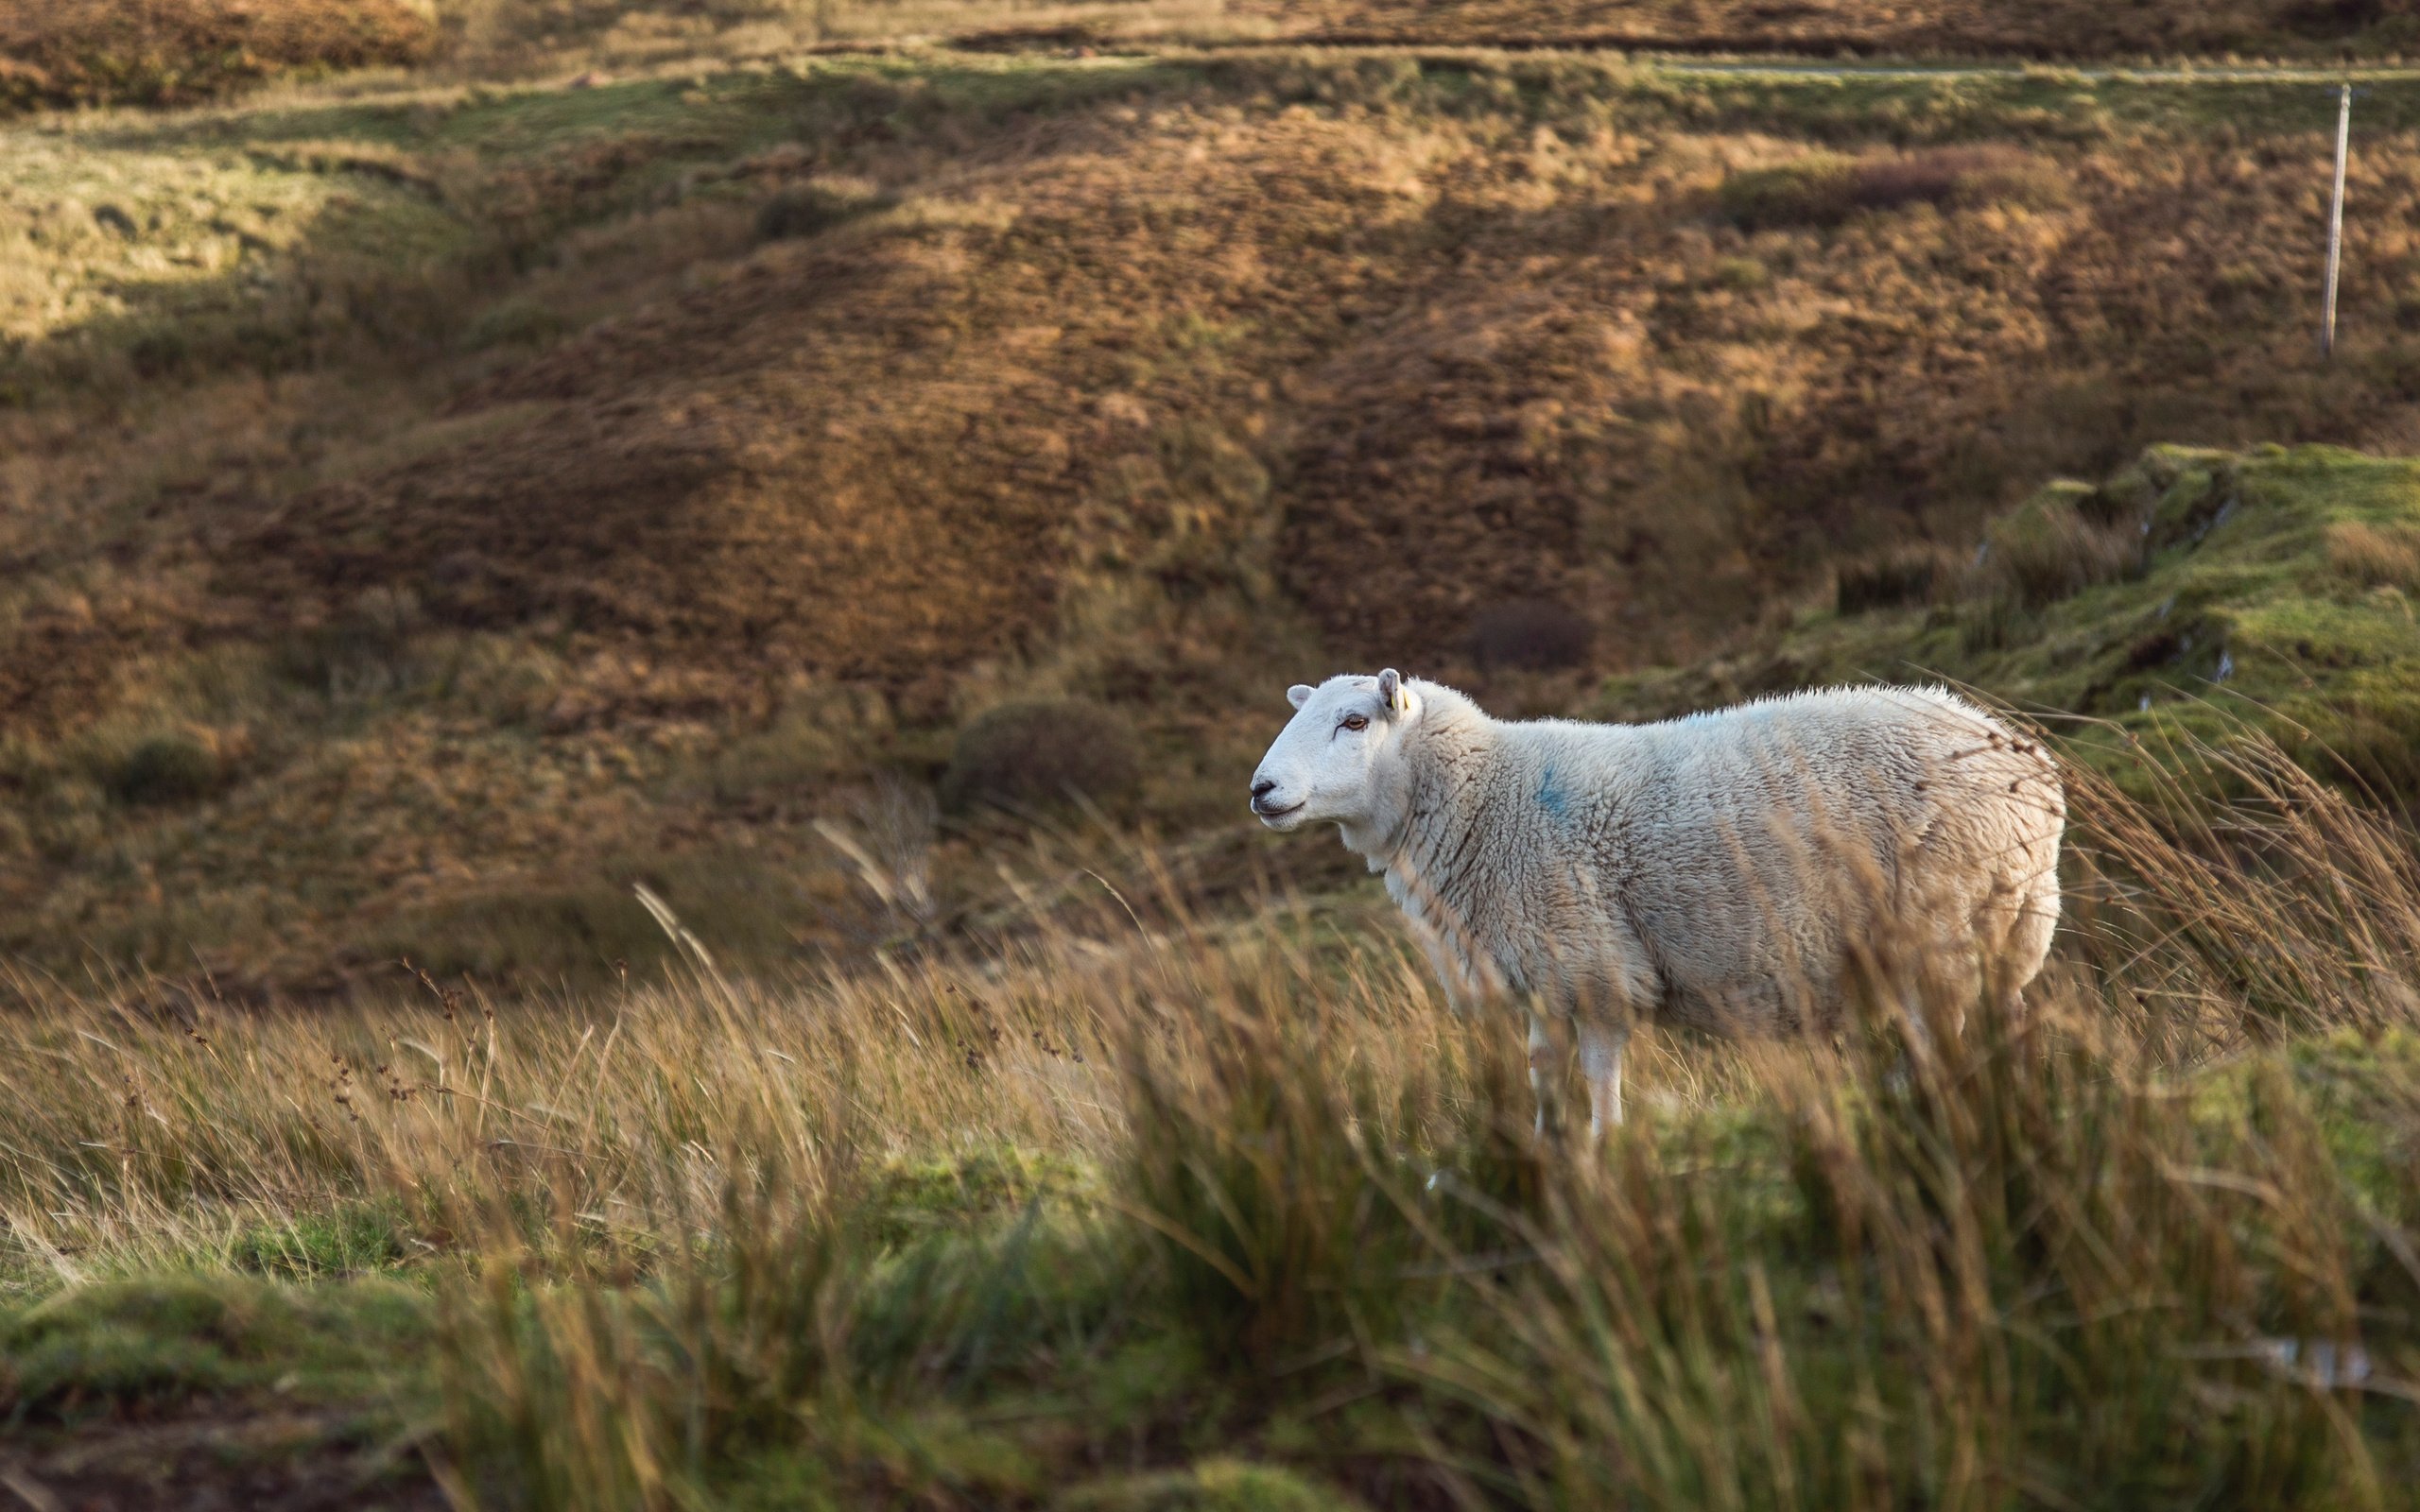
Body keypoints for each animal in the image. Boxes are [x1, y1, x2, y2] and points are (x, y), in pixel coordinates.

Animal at [1248, 667, 2062, 1137]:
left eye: (1355, 722)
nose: (1260, 790)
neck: (1483, 796)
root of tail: (2024, 759)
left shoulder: (1592, 963)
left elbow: (1599, 1077)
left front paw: (1604, 1157)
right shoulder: (1543, 973)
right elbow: (1543, 1072)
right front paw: (1549, 1154)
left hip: (1942, 922)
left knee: (1942, 1037)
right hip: (2005, 924)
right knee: (2005, 1024)